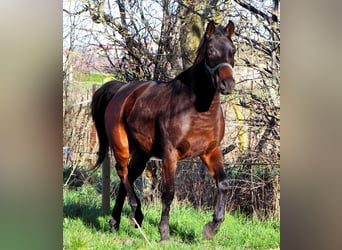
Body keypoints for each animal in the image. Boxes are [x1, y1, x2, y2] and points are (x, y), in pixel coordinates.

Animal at [90, 20, 235, 240]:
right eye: (211, 51)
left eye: (232, 51)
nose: (228, 84)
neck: (197, 110)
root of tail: (121, 90)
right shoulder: (170, 154)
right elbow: (168, 192)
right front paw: (164, 232)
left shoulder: (212, 151)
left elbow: (223, 184)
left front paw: (211, 228)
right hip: (121, 146)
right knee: (122, 172)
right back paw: (136, 213)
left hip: (142, 153)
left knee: (128, 178)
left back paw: (116, 222)